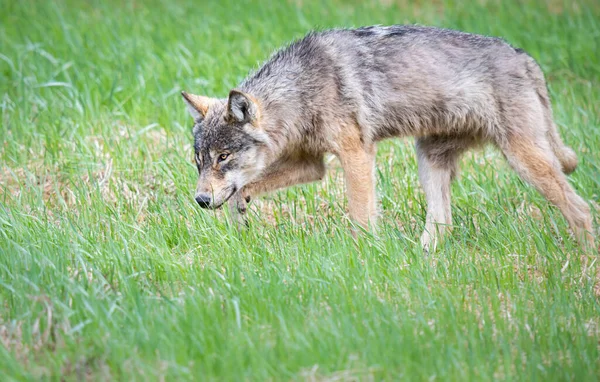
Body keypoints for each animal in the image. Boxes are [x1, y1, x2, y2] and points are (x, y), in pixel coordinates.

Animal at [182, 23, 596, 251]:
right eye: (200, 161)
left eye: (223, 157)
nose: (200, 200)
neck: (299, 91)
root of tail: (525, 56)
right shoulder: (312, 165)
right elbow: (246, 188)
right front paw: (240, 214)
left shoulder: (356, 154)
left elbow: (362, 216)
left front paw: (362, 255)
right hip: (428, 160)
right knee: (443, 224)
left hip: (525, 161)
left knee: (583, 210)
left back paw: (585, 262)